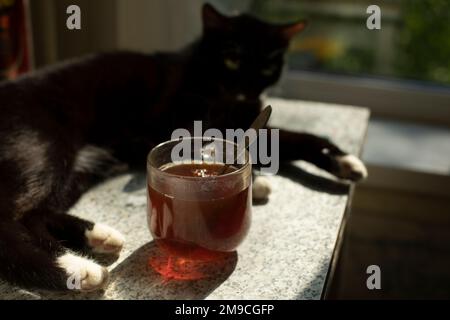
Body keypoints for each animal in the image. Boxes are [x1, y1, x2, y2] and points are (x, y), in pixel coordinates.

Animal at [0, 3, 366, 292]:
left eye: (266, 66)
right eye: (232, 59)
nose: (248, 88)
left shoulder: (249, 117)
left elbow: (288, 139)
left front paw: (343, 161)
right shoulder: (178, 120)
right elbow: (227, 142)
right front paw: (252, 178)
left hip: (77, 168)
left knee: (34, 215)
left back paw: (96, 238)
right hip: (42, 151)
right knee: (10, 221)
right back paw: (76, 270)